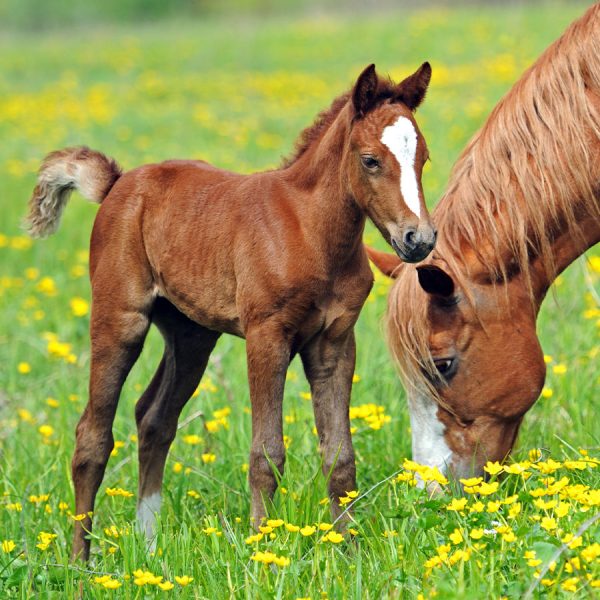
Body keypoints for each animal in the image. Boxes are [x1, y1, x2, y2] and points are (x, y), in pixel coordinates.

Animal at [27, 63, 436, 560]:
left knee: (154, 418)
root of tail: (118, 184)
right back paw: (79, 562)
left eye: (423, 158)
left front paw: (350, 549)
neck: (310, 231)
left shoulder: (335, 342)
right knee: (93, 434)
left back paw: (148, 545)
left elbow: (340, 455)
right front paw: (263, 546)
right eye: (371, 160)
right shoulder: (267, 336)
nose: (419, 239)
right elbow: (266, 453)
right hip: (120, 318)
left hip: (191, 336)